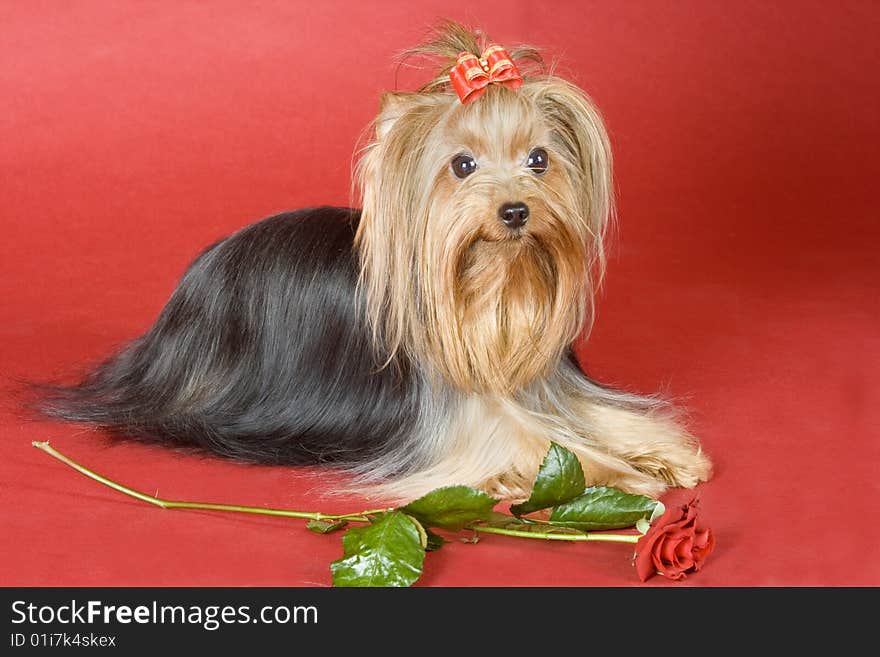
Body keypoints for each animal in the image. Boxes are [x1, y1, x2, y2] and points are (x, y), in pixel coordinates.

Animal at [34, 21, 712, 502]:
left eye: (539, 160)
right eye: (462, 165)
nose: (516, 211)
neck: (497, 289)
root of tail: (192, 282)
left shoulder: (546, 384)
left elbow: (593, 416)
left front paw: (669, 455)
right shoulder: (458, 422)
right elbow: (531, 440)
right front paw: (625, 477)